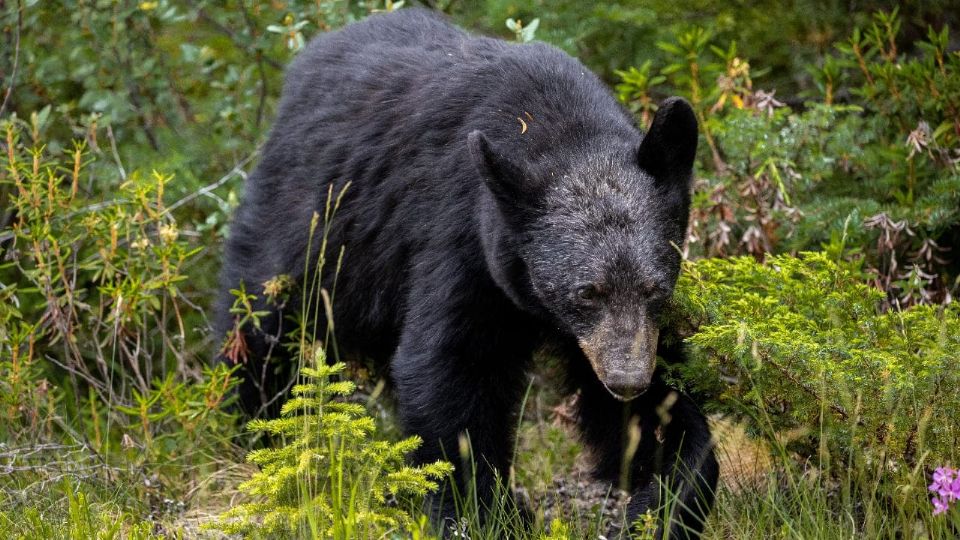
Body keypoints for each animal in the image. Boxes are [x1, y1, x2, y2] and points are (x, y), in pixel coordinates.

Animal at [218, 6, 712, 536]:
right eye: (586, 292)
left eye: (655, 288)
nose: (626, 380)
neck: (556, 128)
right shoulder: (462, 237)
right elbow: (451, 366)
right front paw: (484, 511)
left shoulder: (618, 332)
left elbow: (657, 407)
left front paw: (665, 497)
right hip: (308, 226)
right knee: (260, 325)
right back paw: (256, 428)